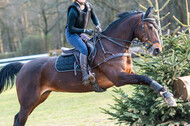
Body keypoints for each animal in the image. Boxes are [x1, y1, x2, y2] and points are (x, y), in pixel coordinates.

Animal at [0, 7, 176, 126]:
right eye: (150, 27)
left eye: (156, 27)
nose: (157, 50)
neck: (113, 46)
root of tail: (23, 66)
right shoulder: (119, 78)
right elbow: (145, 77)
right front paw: (168, 96)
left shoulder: (129, 73)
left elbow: (146, 79)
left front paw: (166, 95)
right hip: (28, 100)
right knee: (19, 118)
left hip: (40, 97)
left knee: (18, 117)